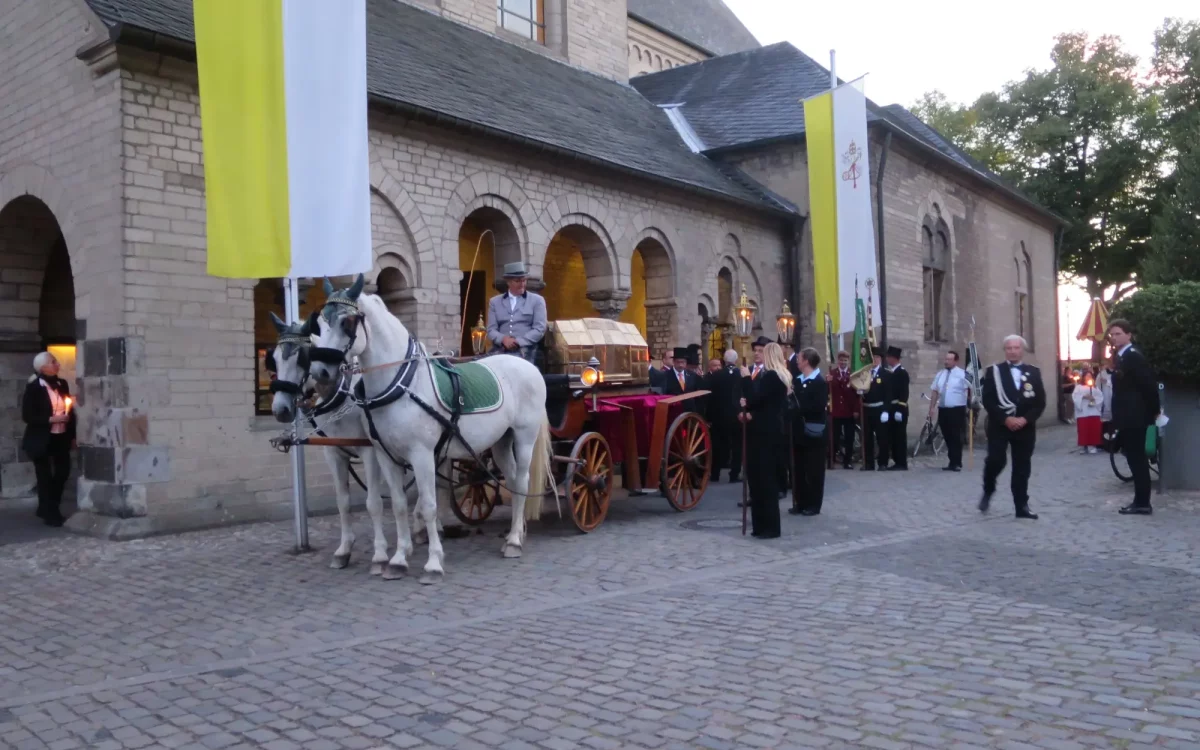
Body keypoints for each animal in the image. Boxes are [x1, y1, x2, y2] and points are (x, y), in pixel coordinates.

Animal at [309, 272, 552, 583]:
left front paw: (433, 563)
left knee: (521, 481)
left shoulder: (422, 455)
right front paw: (398, 559)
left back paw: (513, 542)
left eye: (346, 322)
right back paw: (515, 532)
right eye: (321, 321)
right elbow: (399, 504)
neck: (402, 383)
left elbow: (428, 505)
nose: (320, 372)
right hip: (500, 441)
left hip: (524, 437)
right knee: (509, 480)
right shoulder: (386, 455)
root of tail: (526, 365)